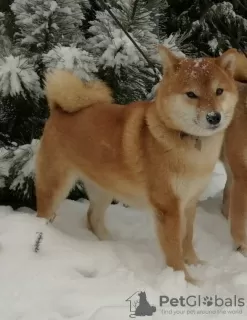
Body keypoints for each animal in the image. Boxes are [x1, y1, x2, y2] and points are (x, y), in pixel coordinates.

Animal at [35, 46, 237, 284]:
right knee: (45, 215)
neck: (190, 144)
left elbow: (187, 238)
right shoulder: (168, 208)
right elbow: (174, 250)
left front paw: (196, 263)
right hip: (55, 186)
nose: (214, 117)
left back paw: (112, 245)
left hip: (103, 189)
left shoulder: (189, 202)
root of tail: (59, 109)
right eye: (191, 94)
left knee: (92, 218)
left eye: (219, 91)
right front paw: (185, 280)